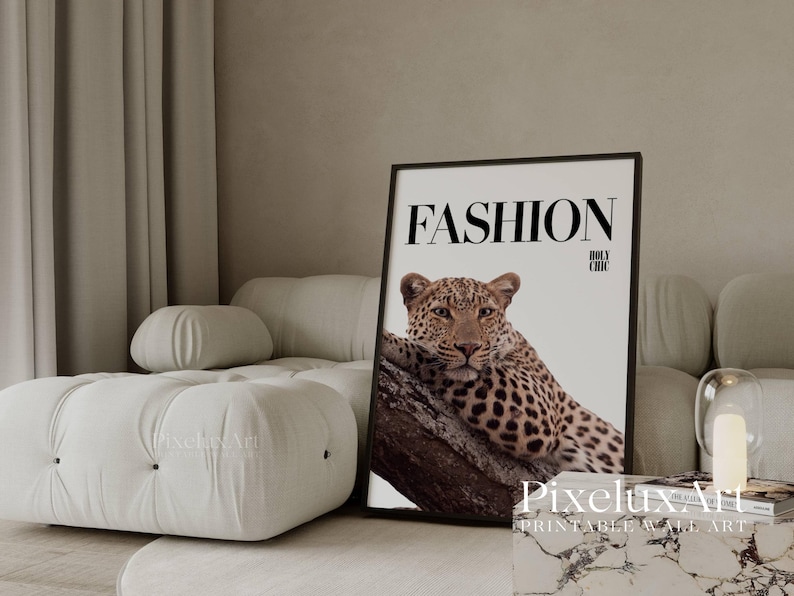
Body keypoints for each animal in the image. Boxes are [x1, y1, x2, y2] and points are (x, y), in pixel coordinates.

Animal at [379, 272, 625, 474]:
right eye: (441, 312)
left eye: (485, 312)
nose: (469, 347)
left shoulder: (538, 404)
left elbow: (429, 355)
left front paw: (389, 341)